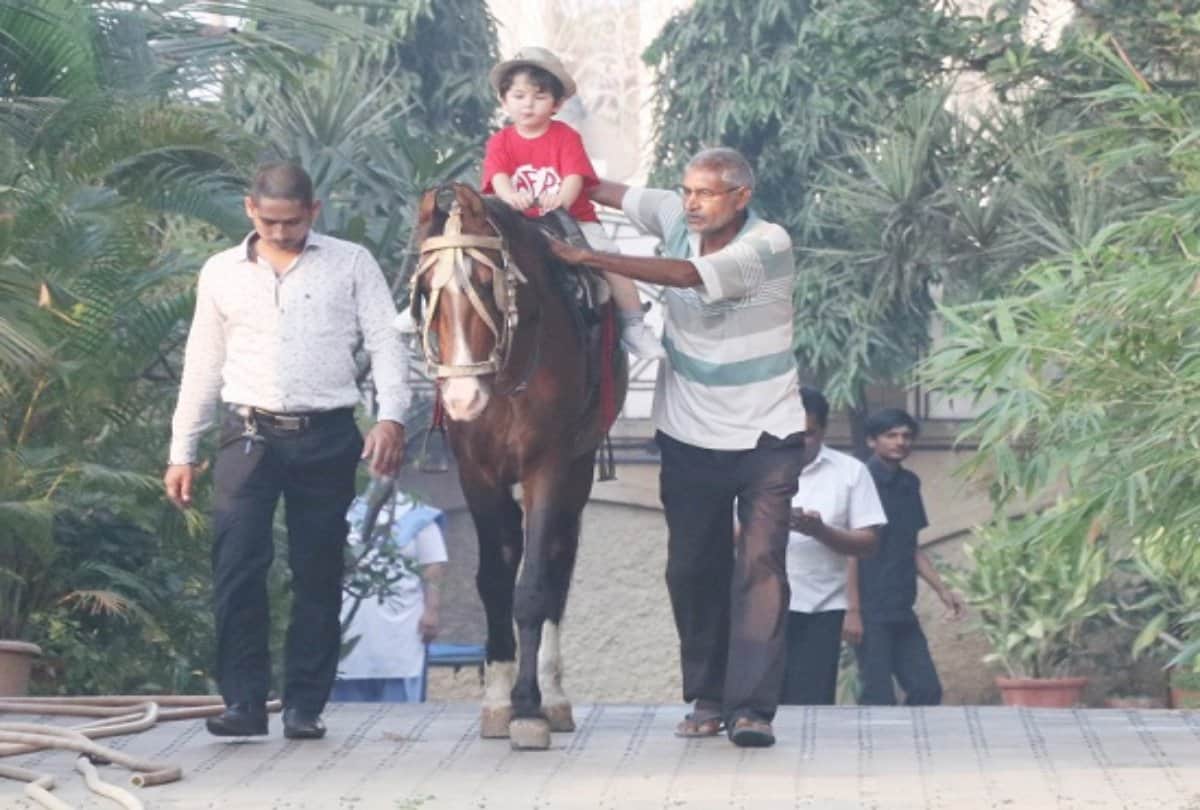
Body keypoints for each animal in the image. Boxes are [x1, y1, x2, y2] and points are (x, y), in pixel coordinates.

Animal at [408, 183, 627, 749]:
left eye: (488, 283)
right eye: (427, 291)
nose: (461, 397)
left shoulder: (546, 466)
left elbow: (532, 587)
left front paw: (528, 705)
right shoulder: (476, 471)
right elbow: (493, 579)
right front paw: (497, 699)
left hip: (577, 469)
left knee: (557, 564)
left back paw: (552, 695)